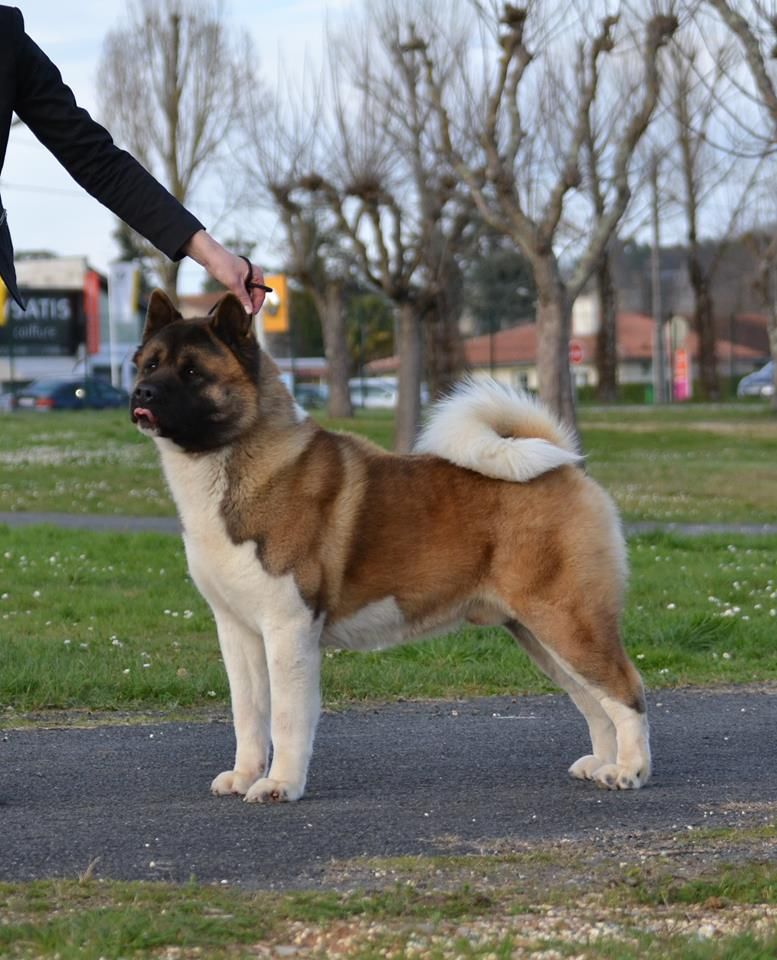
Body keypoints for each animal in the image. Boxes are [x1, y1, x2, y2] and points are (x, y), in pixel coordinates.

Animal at [132, 290, 648, 804]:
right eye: (149, 365)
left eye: (192, 372)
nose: (142, 394)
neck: (234, 462)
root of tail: (564, 466)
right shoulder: (237, 632)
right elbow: (249, 714)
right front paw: (244, 775)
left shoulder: (288, 628)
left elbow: (286, 717)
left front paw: (280, 784)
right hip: (539, 633)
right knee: (594, 701)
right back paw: (602, 763)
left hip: (567, 620)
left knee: (625, 689)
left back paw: (630, 771)